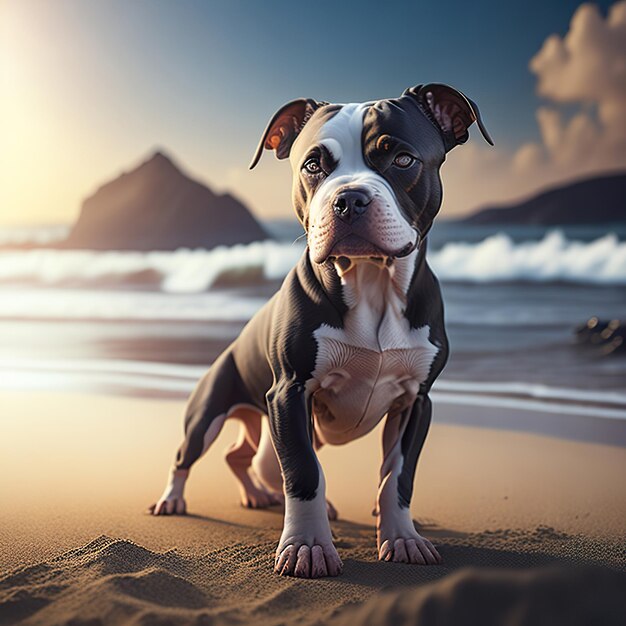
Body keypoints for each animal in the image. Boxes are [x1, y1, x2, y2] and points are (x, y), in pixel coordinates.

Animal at [149, 81, 490, 576]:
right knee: (189, 455)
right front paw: (308, 545)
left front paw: (402, 537)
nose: (348, 199)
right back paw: (173, 499)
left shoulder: (416, 401)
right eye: (313, 165)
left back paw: (257, 494)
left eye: (402, 159)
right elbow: (303, 471)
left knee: (243, 456)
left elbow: (397, 475)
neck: (371, 284)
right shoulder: (289, 392)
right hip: (210, 410)